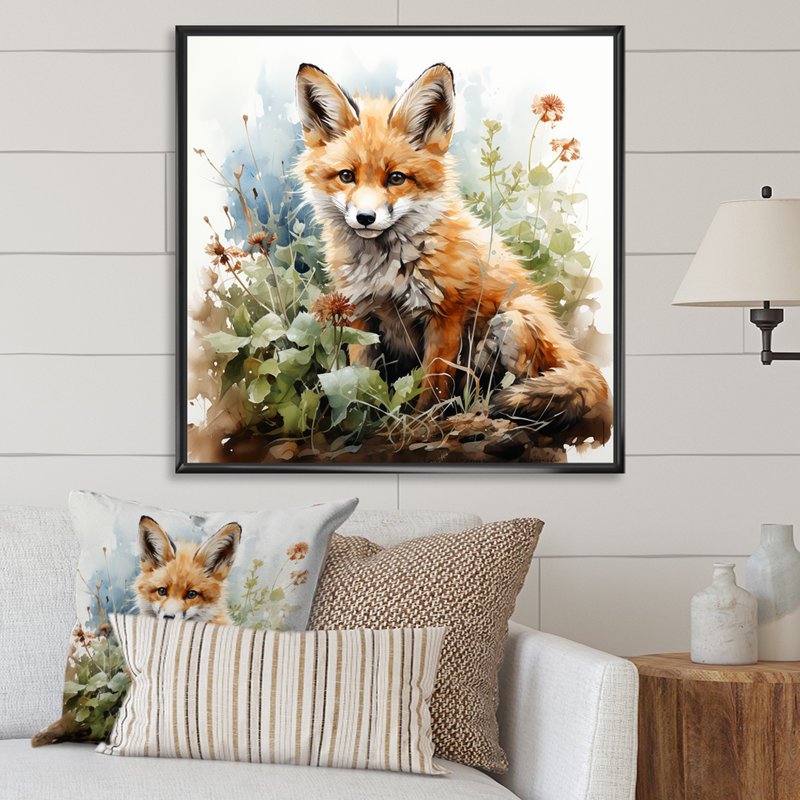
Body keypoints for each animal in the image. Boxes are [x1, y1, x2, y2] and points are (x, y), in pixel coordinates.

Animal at [295, 62, 612, 443]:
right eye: (346, 176)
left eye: (396, 178)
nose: (365, 218)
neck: (387, 270)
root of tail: (570, 351)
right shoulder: (359, 314)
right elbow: (360, 378)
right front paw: (359, 423)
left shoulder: (445, 314)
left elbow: (433, 384)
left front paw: (419, 428)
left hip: (510, 322)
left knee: (516, 382)